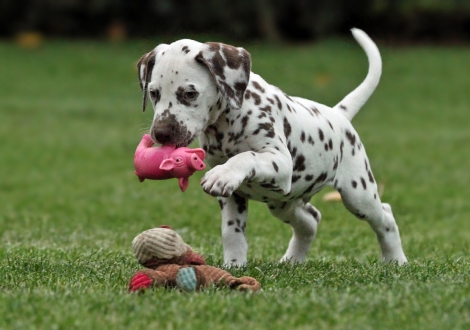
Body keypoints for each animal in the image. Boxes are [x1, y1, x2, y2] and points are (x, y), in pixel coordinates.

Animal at [137, 27, 408, 266]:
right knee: (311, 220)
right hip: (283, 202)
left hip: (358, 194)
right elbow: (231, 232)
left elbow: (246, 157)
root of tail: (338, 114)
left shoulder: (281, 162)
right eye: (154, 93)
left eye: (190, 93)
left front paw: (224, 173)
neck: (226, 124)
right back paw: (291, 262)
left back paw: (396, 260)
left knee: (385, 217)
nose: (161, 134)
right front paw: (234, 267)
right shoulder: (233, 197)